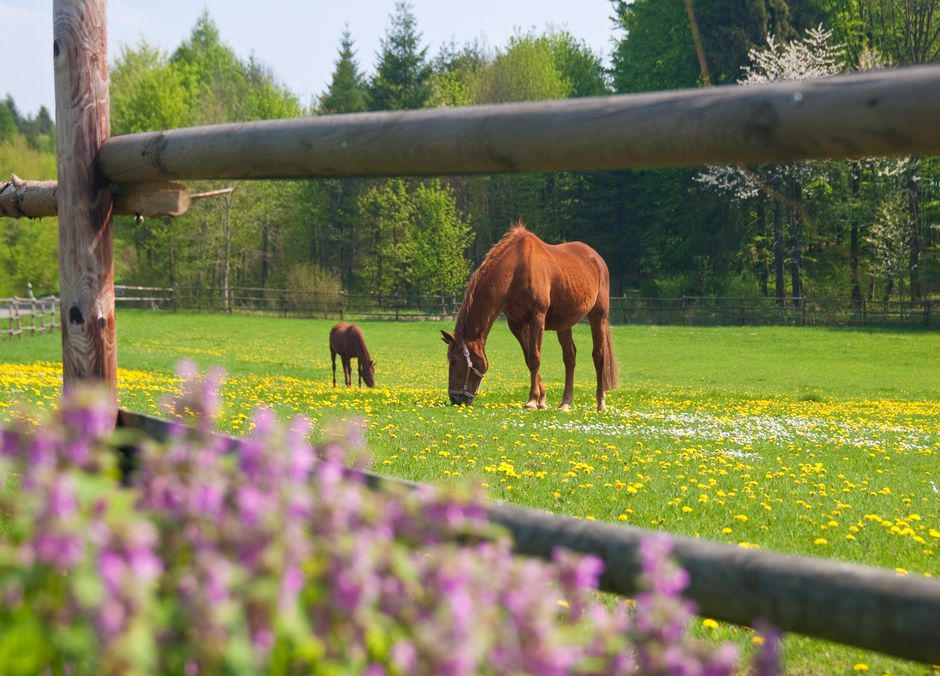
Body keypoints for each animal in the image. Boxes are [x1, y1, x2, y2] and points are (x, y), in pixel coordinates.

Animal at [441, 223, 618, 412]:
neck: (517, 269)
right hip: (564, 324)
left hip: (598, 317)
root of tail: (597, 259)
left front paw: (532, 401)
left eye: (454, 360)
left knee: (598, 356)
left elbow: (535, 357)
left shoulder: (537, 318)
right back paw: (565, 402)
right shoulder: (516, 324)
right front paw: (542, 400)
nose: (455, 398)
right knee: (570, 358)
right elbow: (529, 358)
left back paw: (600, 403)